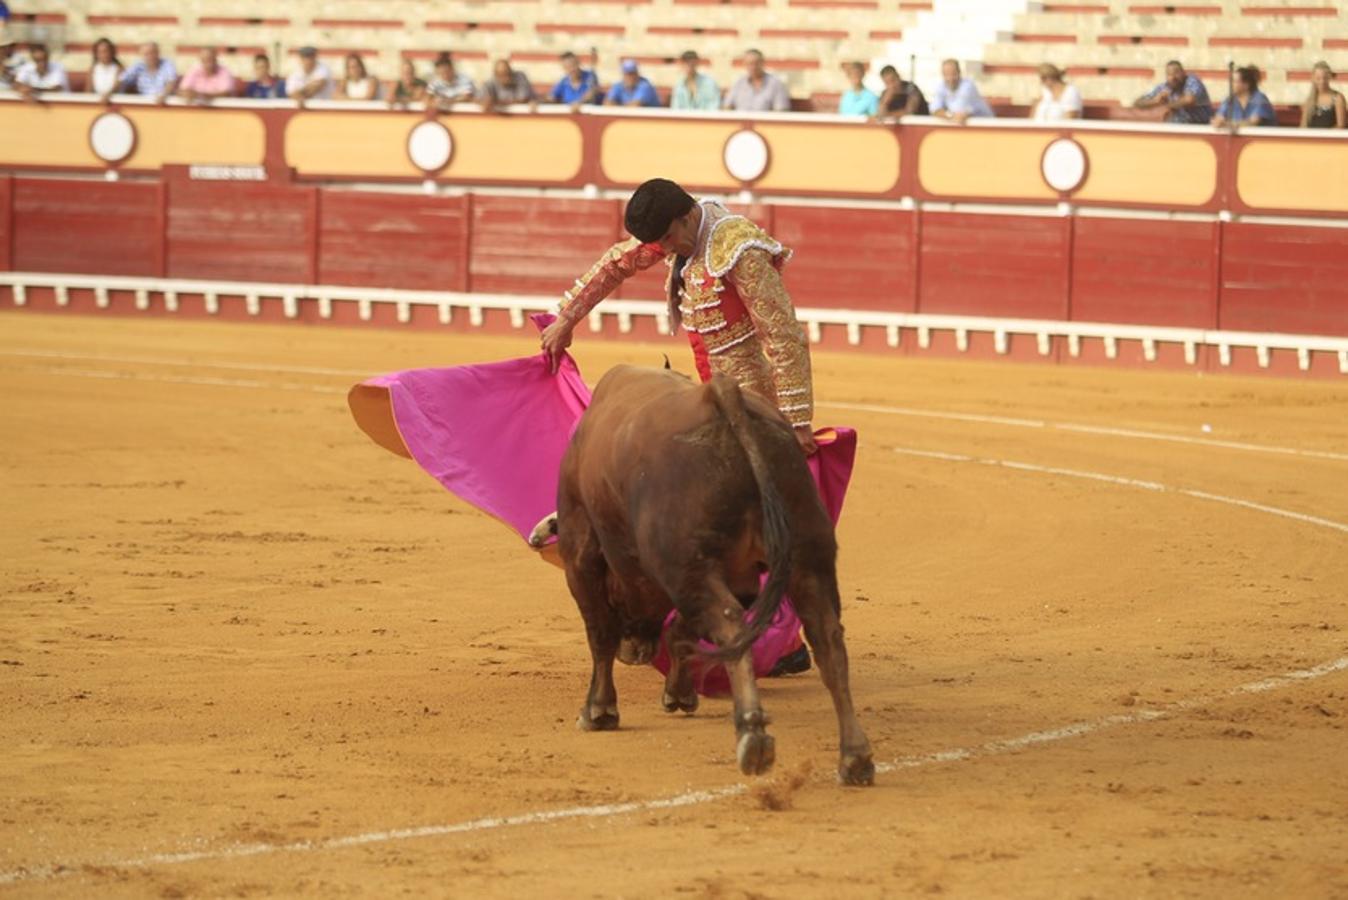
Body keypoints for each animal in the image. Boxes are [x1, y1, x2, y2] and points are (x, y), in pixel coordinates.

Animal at [555, 361, 878, 781]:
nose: (636, 651)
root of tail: (724, 396)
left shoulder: (582, 550)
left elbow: (601, 633)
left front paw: (598, 710)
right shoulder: (739, 576)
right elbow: (680, 632)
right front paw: (678, 694)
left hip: (689, 565)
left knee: (731, 625)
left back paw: (752, 735)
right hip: (809, 555)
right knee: (827, 638)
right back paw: (855, 756)